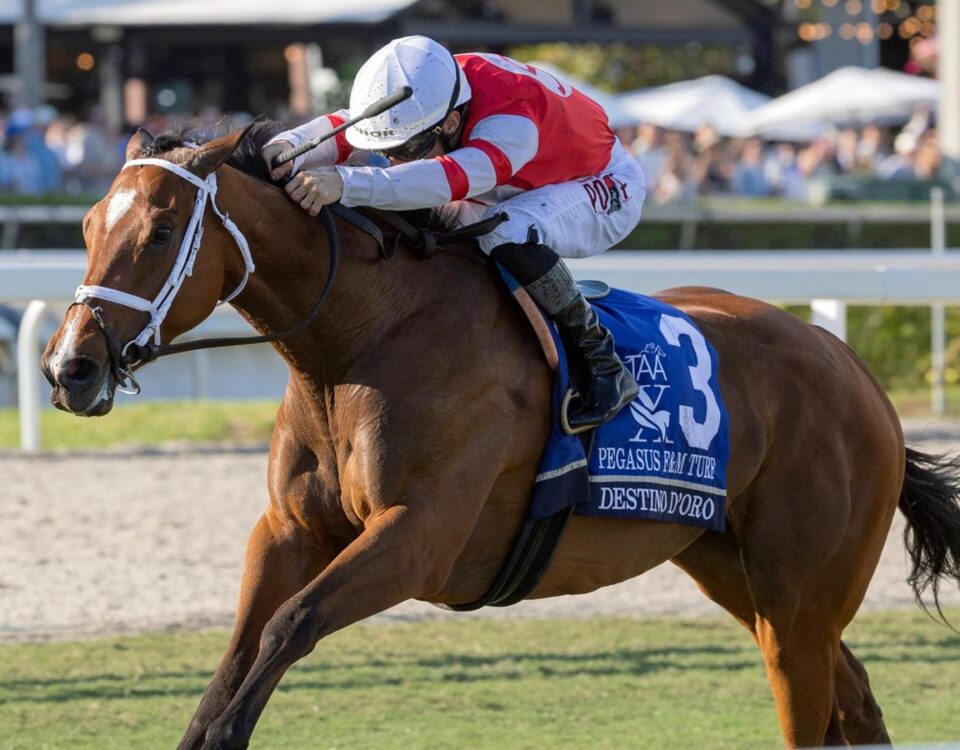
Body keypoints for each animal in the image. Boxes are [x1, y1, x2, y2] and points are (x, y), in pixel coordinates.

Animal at [40, 124, 960, 750]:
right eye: (86, 226)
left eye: (160, 232)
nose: (69, 366)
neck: (361, 341)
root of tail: (853, 369)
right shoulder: (289, 531)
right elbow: (233, 661)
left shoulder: (418, 537)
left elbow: (287, 629)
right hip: (737, 573)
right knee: (854, 693)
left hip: (801, 594)